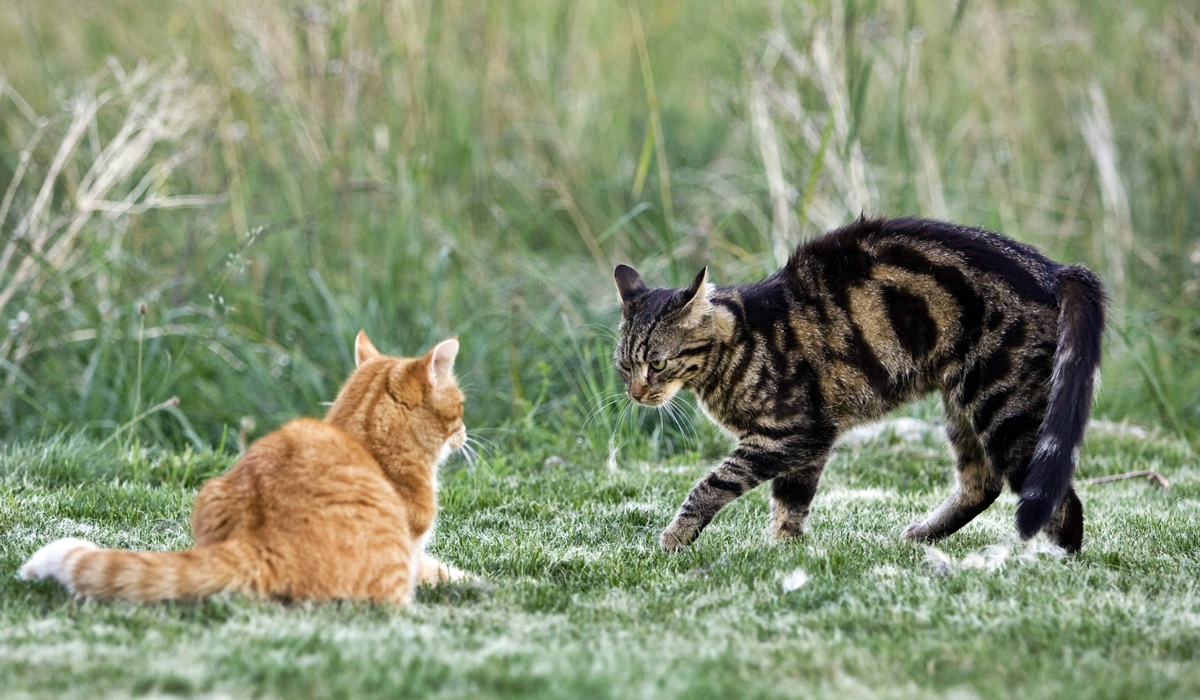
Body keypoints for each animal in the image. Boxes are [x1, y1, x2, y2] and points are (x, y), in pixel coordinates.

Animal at [19, 333, 468, 602]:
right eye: (461, 406)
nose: (466, 431)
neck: (365, 438)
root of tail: (266, 540)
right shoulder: (413, 552)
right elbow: (442, 569)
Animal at [619, 216, 1104, 557]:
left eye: (657, 364)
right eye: (625, 367)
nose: (636, 394)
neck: (740, 342)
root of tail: (1055, 268)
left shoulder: (791, 434)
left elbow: (714, 483)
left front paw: (676, 536)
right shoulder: (810, 444)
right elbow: (790, 503)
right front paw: (785, 551)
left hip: (1002, 406)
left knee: (1060, 501)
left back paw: (1055, 562)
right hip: (961, 406)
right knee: (982, 483)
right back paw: (923, 534)